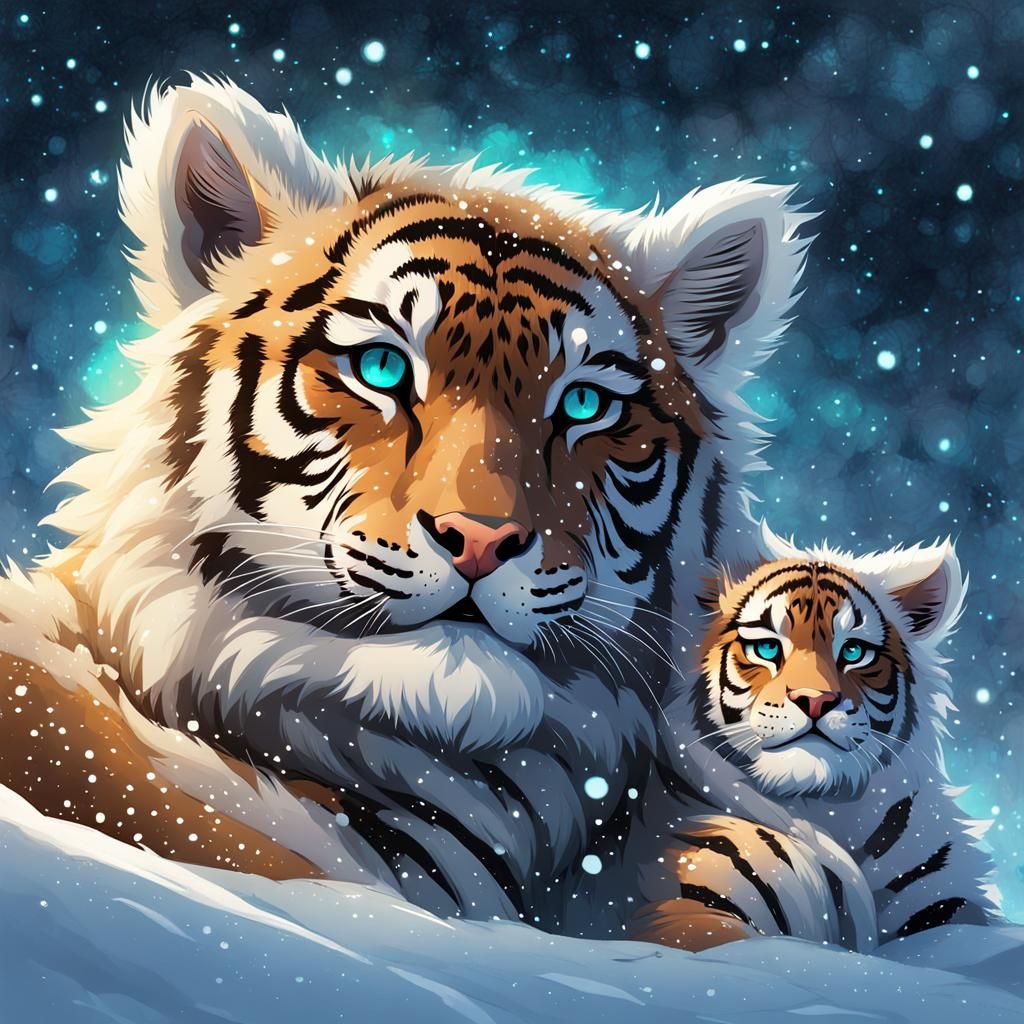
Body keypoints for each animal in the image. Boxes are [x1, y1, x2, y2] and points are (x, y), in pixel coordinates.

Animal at [632, 523, 1001, 951]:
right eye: (767, 647)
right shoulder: (689, 901)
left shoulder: (945, 903)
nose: (816, 700)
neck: (821, 804)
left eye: (854, 652)